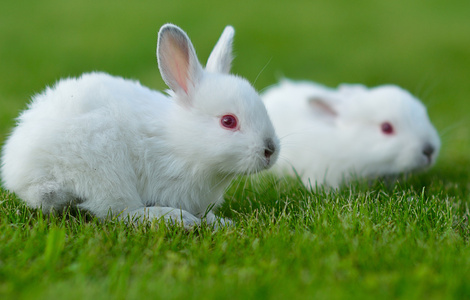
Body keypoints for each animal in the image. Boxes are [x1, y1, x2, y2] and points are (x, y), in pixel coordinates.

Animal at [0, 23, 280, 227]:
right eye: (228, 121)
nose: (271, 151)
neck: (180, 143)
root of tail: (24, 176)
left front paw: (217, 220)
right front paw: (210, 221)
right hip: (107, 172)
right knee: (119, 213)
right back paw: (176, 219)